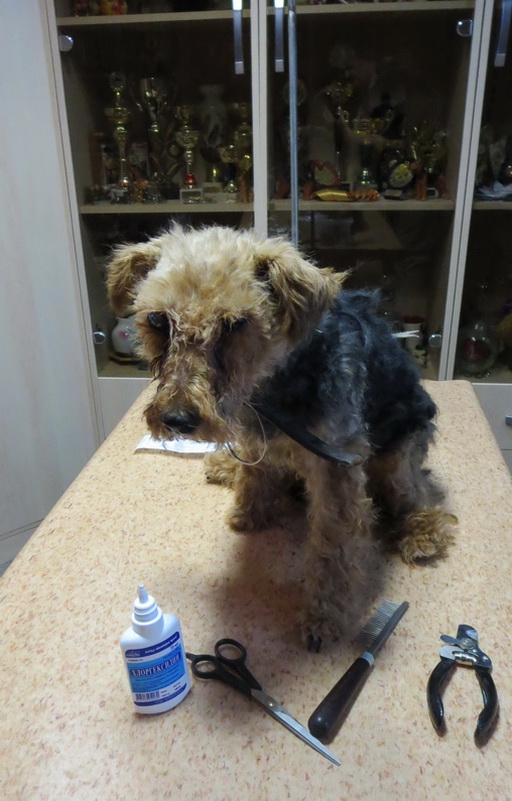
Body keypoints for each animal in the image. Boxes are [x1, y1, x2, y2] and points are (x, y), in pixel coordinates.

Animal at [107, 224, 455, 650]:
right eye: (157, 320)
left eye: (235, 323)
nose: (177, 419)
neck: (271, 383)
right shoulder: (257, 439)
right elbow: (255, 473)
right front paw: (249, 511)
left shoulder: (335, 468)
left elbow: (333, 548)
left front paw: (323, 618)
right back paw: (226, 467)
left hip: (397, 459)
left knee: (420, 497)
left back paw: (422, 534)